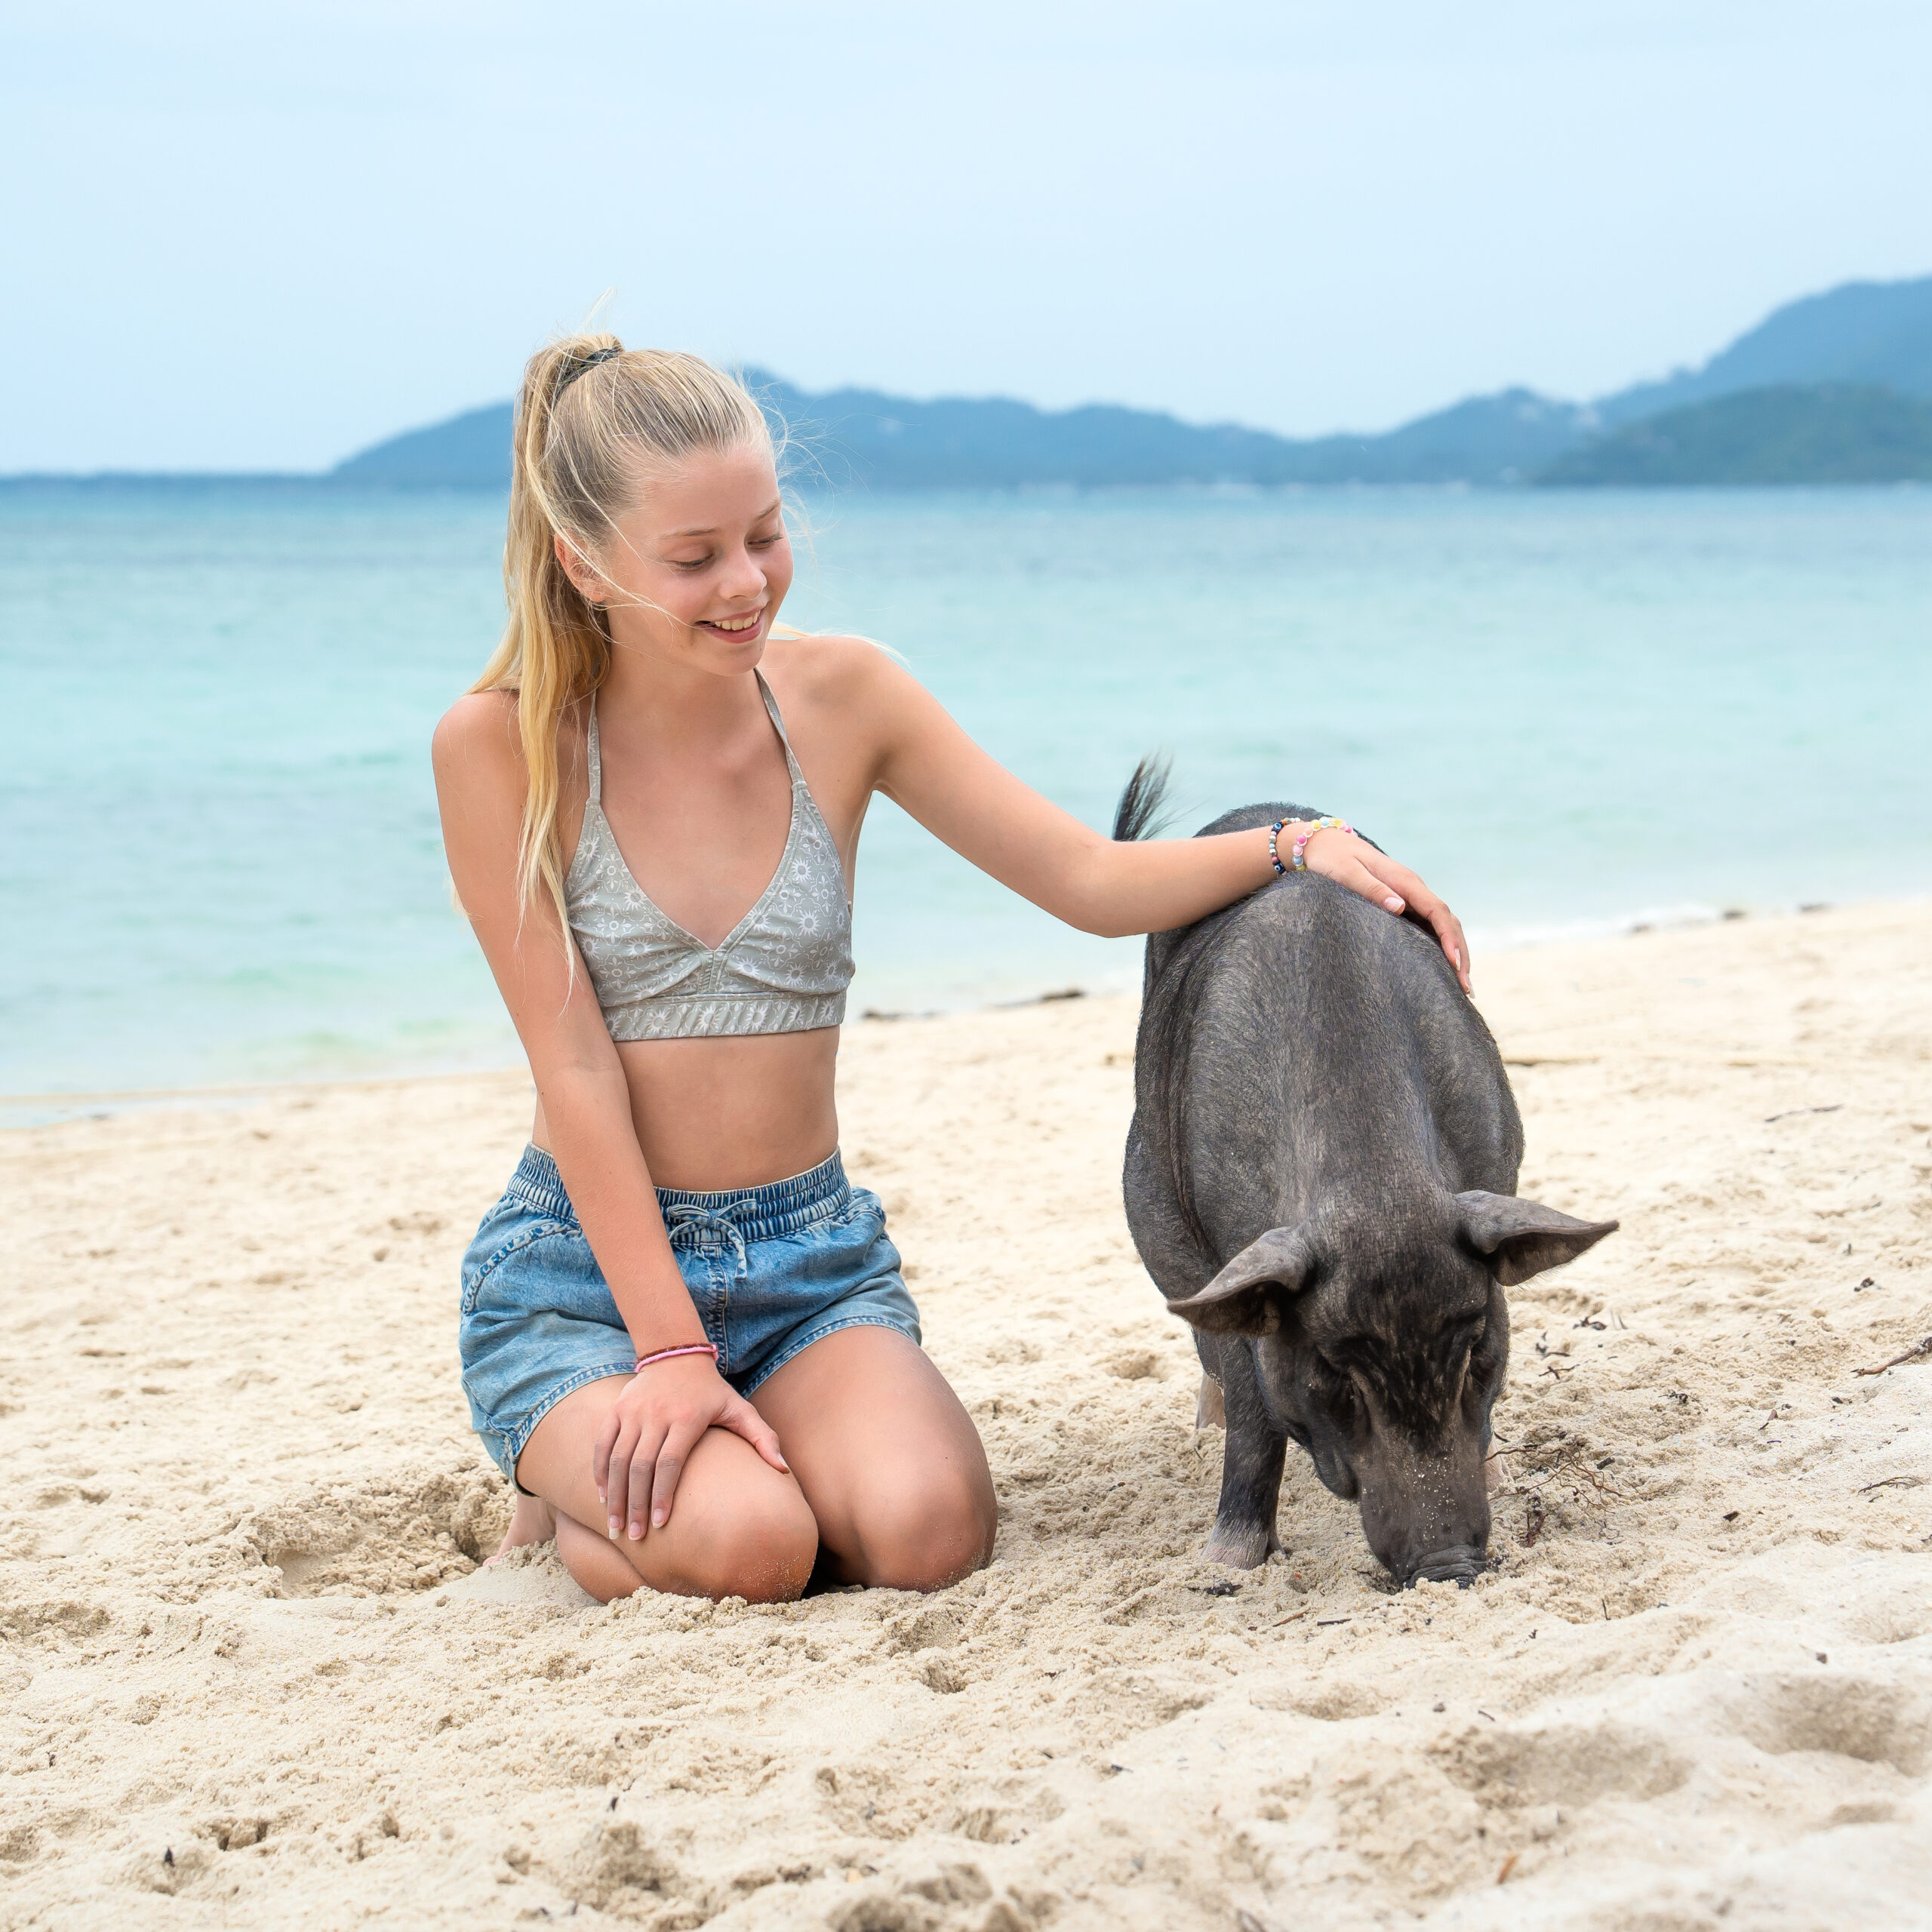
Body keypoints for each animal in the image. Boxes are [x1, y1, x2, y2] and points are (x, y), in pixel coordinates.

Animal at [1114, 766, 1617, 1587]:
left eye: (1474, 1352)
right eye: (1336, 1377)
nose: (1447, 1566)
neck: (1374, 1188)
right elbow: (1253, 1404)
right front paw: (1227, 1562)